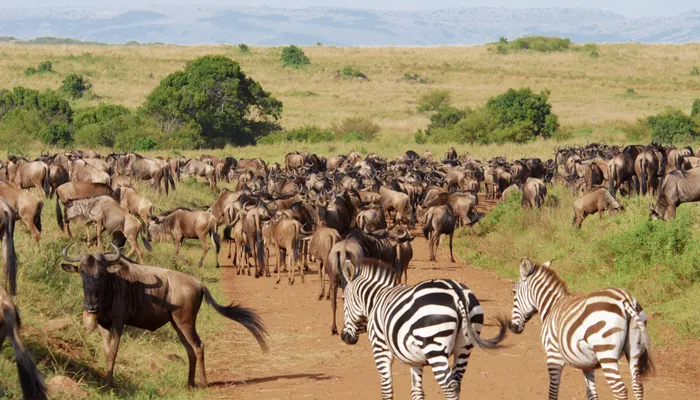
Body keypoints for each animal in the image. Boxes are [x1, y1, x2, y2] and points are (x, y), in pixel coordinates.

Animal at [339, 258, 508, 400]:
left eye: (344, 302)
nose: (344, 338)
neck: (376, 300)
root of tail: (456, 292)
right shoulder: (414, 359)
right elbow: (417, 391)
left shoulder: (380, 348)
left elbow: (387, 390)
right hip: (465, 347)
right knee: (457, 383)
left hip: (435, 347)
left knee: (450, 387)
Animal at [510, 257, 654, 400]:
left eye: (514, 293)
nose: (512, 327)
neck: (552, 306)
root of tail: (626, 300)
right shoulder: (587, 364)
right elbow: (591, 393)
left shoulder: (553, 355)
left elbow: (553, 391)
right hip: (635, 351)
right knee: (637, 386)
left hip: (605, 352)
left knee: (620, 390)